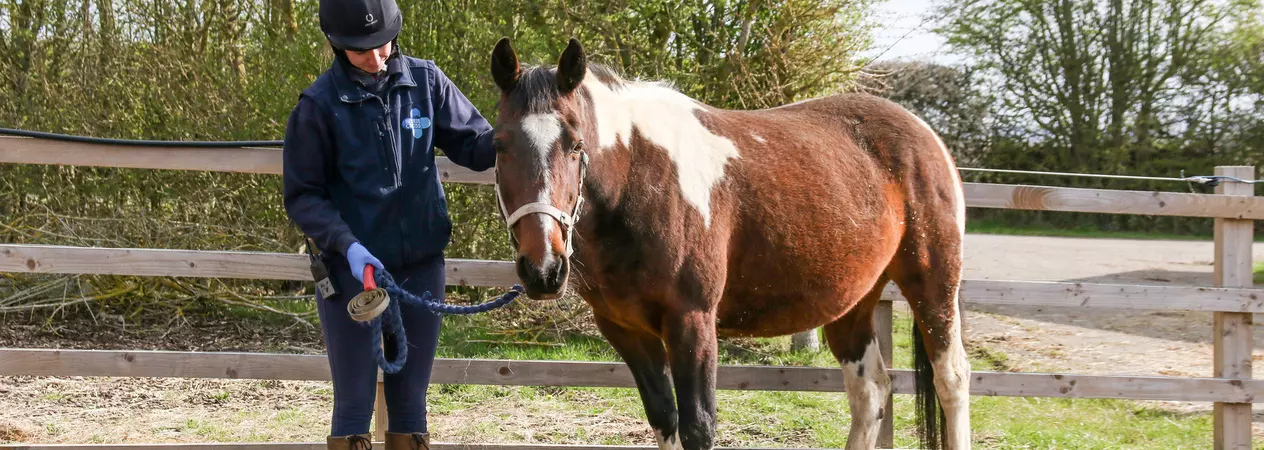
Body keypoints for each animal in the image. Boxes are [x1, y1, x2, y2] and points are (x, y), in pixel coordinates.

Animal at [486, 37, 971, 450]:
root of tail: (925, 133)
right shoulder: (626, 330)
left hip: (933, 284)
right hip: (854, 301)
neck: (640, 179)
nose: (544, 268)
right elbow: (664, 419)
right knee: (870, 392)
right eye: (499, 145)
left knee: (951, 379)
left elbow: (698, 427)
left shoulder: (692, 321)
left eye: (575, 144)